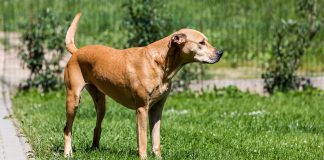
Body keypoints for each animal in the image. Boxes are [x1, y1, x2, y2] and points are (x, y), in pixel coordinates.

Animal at [63, 12, 223, 159]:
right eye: (201, 42)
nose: (220, 52)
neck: (159, 62)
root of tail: (77, 52)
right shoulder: (141, 109)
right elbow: (143, 138)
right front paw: (144, 156)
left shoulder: (157, 109)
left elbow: (156, 138)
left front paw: (158, 157)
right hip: (73, 100)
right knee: (67, 128)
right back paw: (68, 153)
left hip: (101, 103)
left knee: (97, 126)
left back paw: (95, 148)